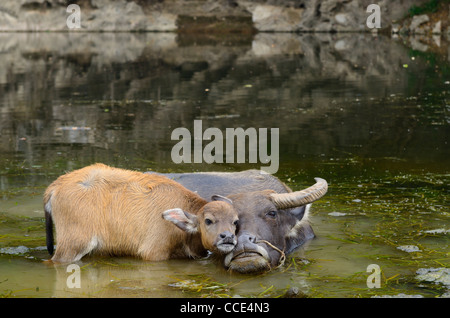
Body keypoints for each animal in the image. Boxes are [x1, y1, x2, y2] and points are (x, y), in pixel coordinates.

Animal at [44, 164, 239, 264]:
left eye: (235, 221)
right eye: (208, 220)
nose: (228, 237)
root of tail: (56, 185)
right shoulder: (154, 253)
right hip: (73, 245)